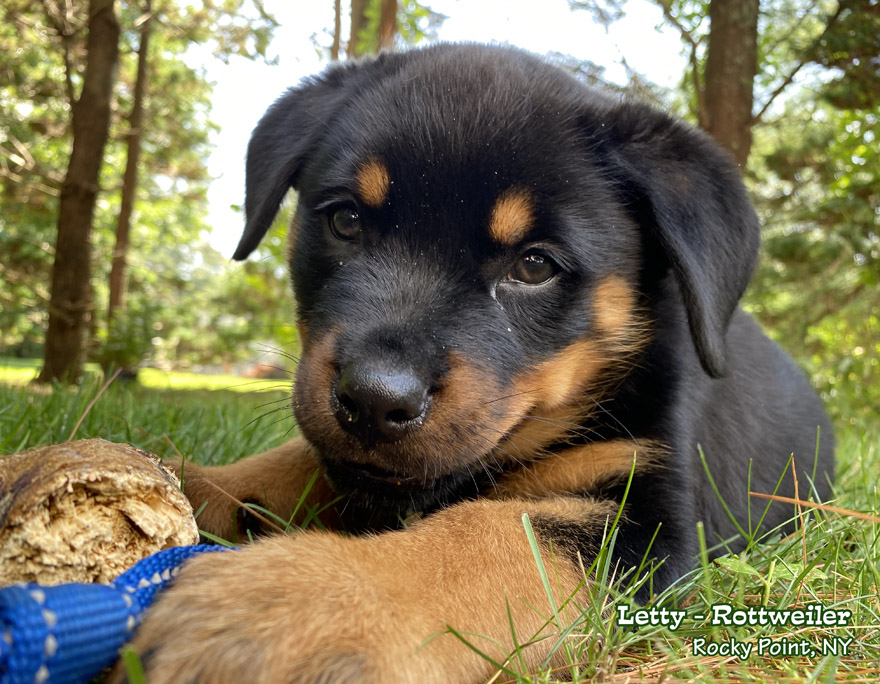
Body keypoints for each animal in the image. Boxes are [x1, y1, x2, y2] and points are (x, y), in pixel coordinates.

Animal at [119, 44, 834, 683]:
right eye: (345, 220)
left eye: (535, 265)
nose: (374, 399)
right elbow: (285, 465)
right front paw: (180, 481)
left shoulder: (643, 517)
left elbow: (492, 535)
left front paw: (297, 607)